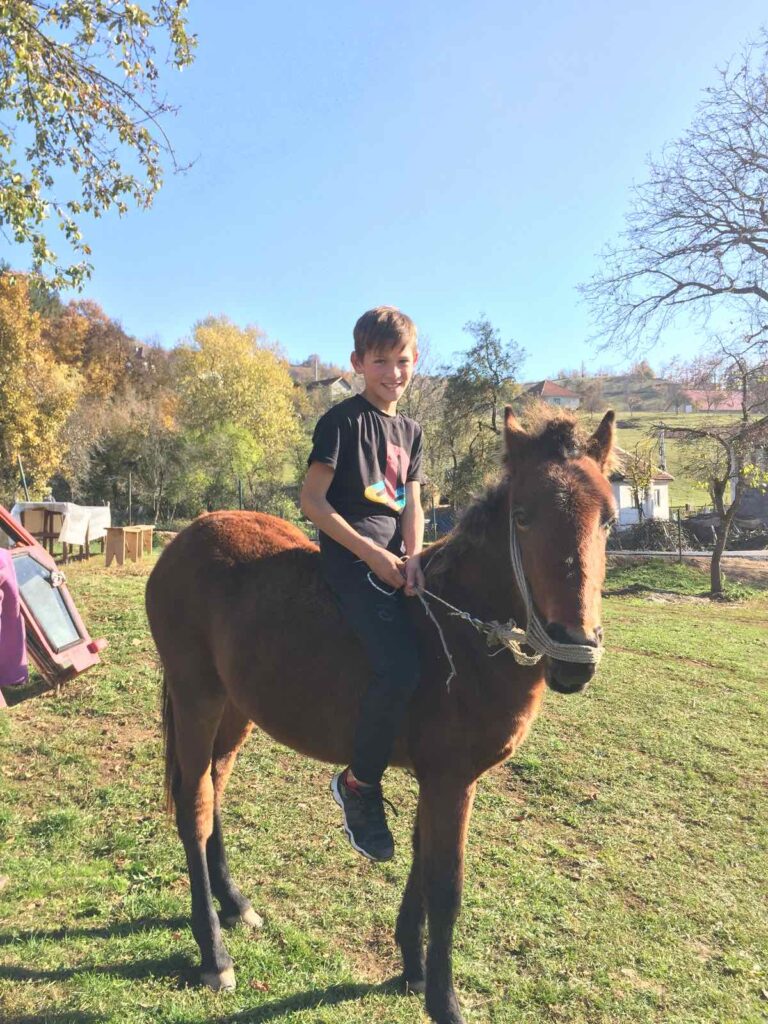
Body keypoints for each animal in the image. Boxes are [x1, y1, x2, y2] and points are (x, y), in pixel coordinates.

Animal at [145, 407, 618, 1024]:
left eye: (608, 520)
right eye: (523, 517)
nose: (574, 654)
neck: (462, 632)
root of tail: (187, 538)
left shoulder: (441, 781)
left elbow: (422, 862)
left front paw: (413, 968)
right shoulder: (451, 780)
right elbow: (446, 885)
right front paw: (444, 999)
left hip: (233, 707)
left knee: (212, 789)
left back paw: (235, 904)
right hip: (196, 695)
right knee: (194, 806)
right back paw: (214, 953)